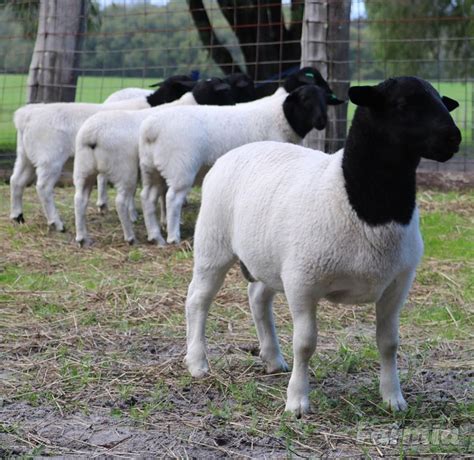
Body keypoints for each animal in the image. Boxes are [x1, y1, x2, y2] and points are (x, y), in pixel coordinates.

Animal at [9, 77, 196, 234]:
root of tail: (25, 117)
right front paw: (134, 215)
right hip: (49, 160)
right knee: (43, 187)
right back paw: (57, 223)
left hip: (25, 156)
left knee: (16, 180)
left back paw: (18, 217)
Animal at [73, 77, 235, 246]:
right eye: (226, 91)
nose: (233, 105)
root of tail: (92, 135)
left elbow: (163, 196)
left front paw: (164, 222)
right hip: (124, 170)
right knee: (121, 201)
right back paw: (131, 237)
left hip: (83, 169)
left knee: (80, 199)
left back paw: (83, 238)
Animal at [139, 79, 342, 246]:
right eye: (305, 99)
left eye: (325, 99)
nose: (322, 120)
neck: (280, 118)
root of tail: (151, 129)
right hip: (180, 169)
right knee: (172, 199)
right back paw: (173, 237)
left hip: (151, 169)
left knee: (148, 197)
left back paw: (154, 236)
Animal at [183, 76, 462, 416]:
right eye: (402, 104)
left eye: (441, 100)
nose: (454, 138)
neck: (368, 206)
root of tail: (236, 152)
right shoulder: (303, 281)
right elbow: (305, 344)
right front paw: (297, 401)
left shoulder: (397, 284)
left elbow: (389, 343)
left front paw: (393, 398)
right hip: (214, 245)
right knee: (198, 300)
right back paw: (197, 362)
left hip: (270, 258)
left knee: (258, 297)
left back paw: (272, 359)